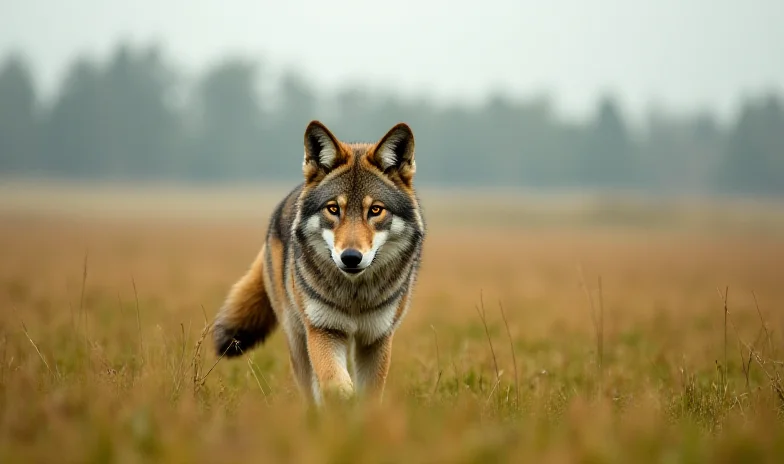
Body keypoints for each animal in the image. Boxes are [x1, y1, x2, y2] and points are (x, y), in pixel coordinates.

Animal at [211, 120, 426, 406]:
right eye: (333, 209)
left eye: (376, 210)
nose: (350, 257)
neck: (354, 297)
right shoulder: (323, 330)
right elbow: (335, 383)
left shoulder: (377, 338)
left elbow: (368, 394)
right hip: (297, 337)